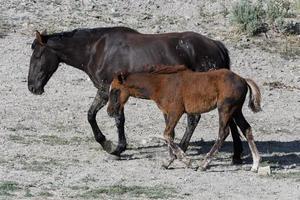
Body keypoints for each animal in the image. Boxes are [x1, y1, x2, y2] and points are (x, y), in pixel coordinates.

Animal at [27, 26, 244, 163]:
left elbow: (118, 120)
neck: (97, 49)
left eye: (37, 55)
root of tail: (216, 45)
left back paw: (182, 149)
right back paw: (235, 155)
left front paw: (116, 148)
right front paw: (107, 143)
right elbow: (91, 115)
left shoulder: (112, 91)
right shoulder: (104, 91)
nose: (32, 87)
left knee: (198, 120)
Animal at [106, 65, 262, 171]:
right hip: (236, 111)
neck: (160, 84)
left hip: (225, 109)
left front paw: (187, 161)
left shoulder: (176, 111)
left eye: (115, 91)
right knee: (247, 129)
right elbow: (170, 135)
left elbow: (167, 134)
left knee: (223, 133)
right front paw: (168, 161)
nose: (109, 111)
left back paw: (203, 164)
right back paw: (255, 165)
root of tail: (243, 79)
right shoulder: (168, 113)